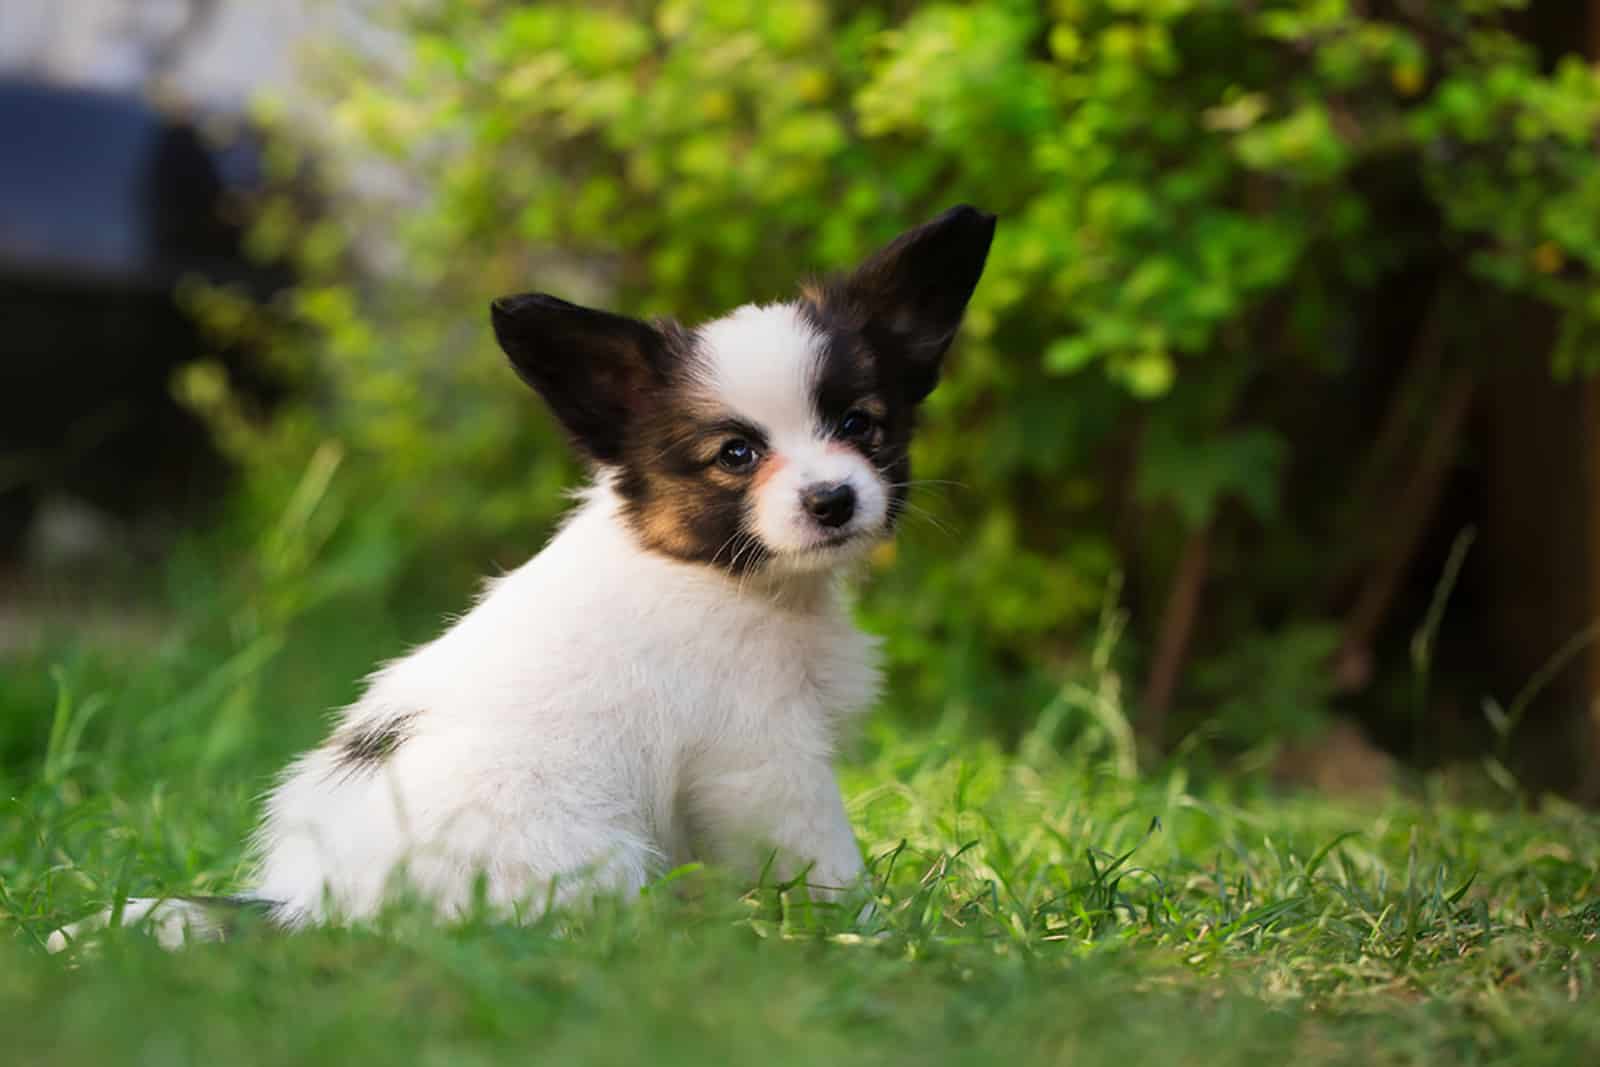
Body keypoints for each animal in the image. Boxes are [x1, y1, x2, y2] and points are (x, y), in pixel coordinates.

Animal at [50, 204, 992, 947]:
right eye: (736, 454)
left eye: (860, 424)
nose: (833, 499)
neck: (725, 572)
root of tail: (315, 908)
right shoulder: (762, 760)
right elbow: (823, 856)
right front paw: (878, 934)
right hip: (590, 856)